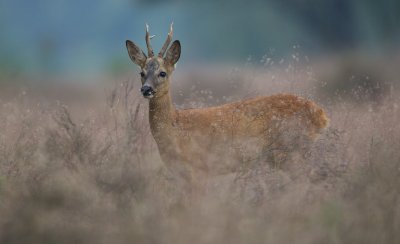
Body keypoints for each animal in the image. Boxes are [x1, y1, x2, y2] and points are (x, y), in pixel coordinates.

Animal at [125, 24, 328, 187]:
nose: (146, 89)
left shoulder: (199, 168)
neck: (175, 130)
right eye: (141, 73)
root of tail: (321, 115)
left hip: (290, 149)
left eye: (162, 73)